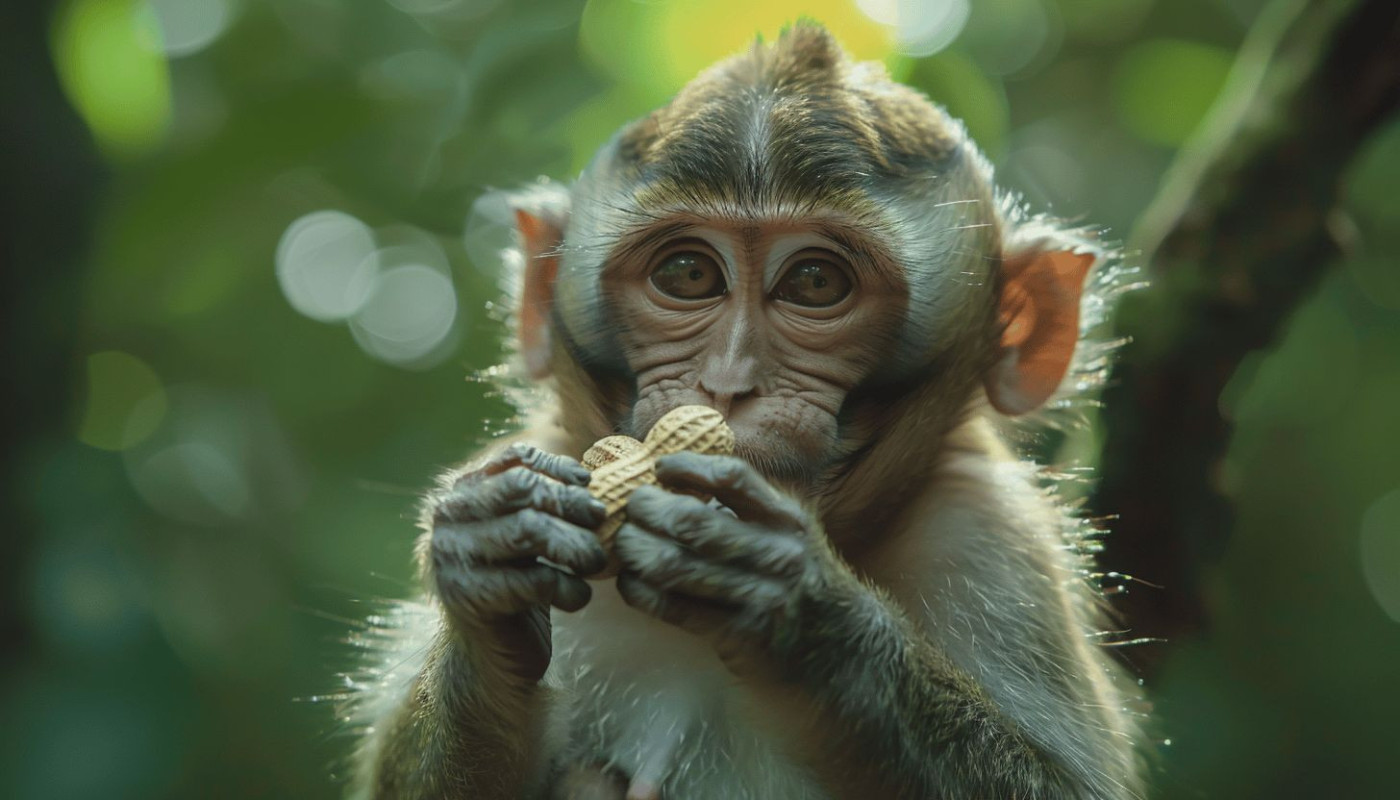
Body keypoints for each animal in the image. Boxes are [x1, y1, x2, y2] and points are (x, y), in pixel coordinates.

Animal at [344, 23, 1144, 800]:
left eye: (816, 282)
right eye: (688, 273)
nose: (728, 385)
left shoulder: (993, 541)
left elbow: (1062, 784)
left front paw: (808, 615)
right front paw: (487, 568)